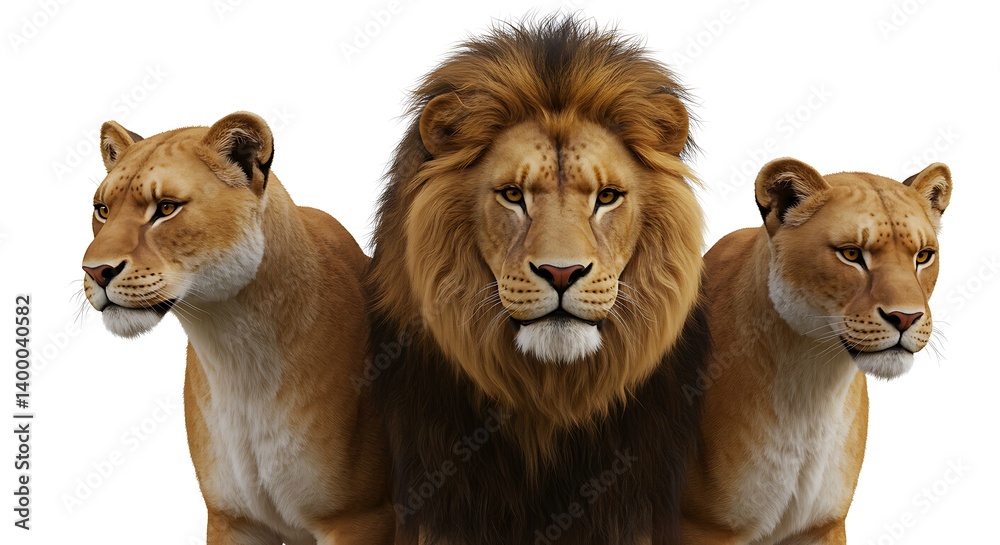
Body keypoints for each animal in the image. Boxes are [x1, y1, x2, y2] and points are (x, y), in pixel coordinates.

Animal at [81, 112, 394, 544]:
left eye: (166, 208)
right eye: (102, 210)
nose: (95, 271)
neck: (236, 351)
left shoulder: (359, 516)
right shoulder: (232, 516)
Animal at [681, 158, 952, 544]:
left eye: (924, 256)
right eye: (851, 254)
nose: (906, 317)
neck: (813, 386)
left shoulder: (824, 523)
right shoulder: (705, 524)